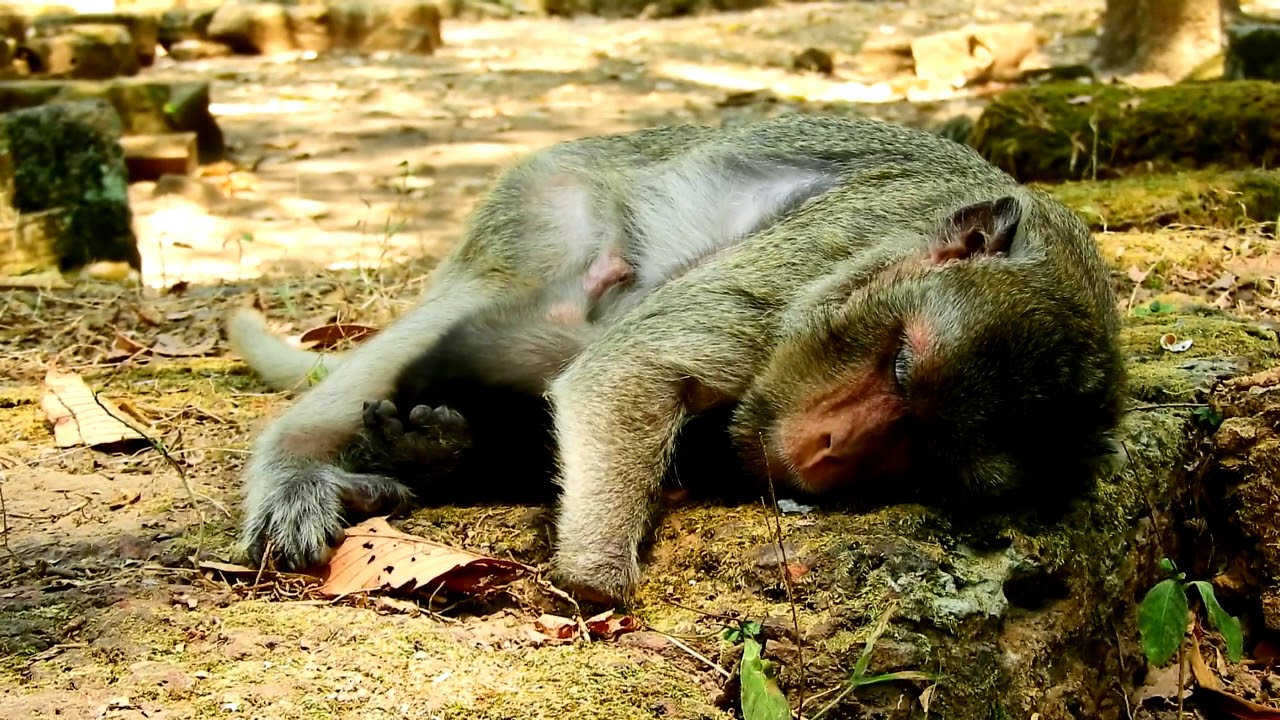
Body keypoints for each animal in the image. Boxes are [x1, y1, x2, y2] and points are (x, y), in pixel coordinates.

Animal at [226, 114, 1126, 604]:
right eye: (902, 370)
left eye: (923, 452)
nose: (835, 450)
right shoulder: (822, 254)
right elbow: (629, 368)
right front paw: (595, 582)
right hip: (545, 203)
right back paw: (297, 462)